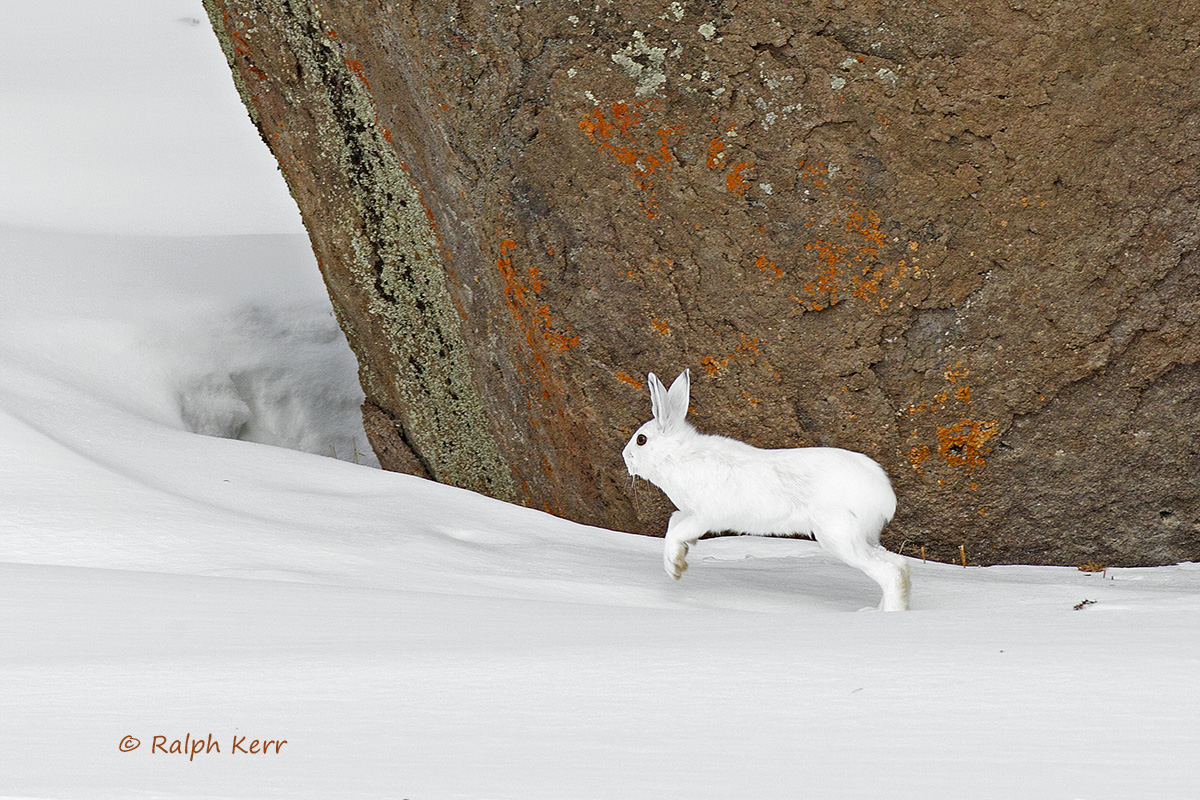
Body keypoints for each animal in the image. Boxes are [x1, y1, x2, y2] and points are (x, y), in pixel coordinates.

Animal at [622, 368, 910, 611]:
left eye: (641, 440)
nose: (625, 456)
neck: (677, 455)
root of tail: (884, 496)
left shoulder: (704, 516)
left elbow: (676, 532)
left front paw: (674, 568)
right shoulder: (687, 513)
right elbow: (673, 522)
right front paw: (682, 557)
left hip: (838, 535)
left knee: (890, 573)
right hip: (861, 537)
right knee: (900, 565)